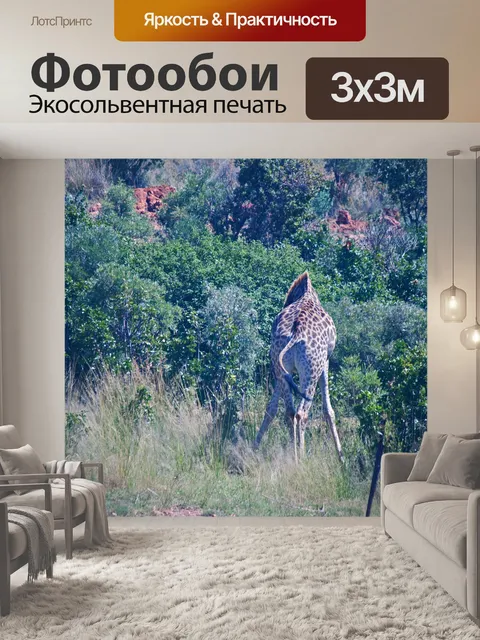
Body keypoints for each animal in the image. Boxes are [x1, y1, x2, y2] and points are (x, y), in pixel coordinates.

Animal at [254, 272, 344, 463]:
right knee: (302, 413)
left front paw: (254, 446)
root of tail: (297, 332)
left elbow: (271, 408)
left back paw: (293, 456)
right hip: (312, 369)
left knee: (289, 412)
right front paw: (342, 459)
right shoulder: (325, 362)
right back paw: (301, 458)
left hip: (280, 364)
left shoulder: (281, 373)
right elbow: (329, 410)